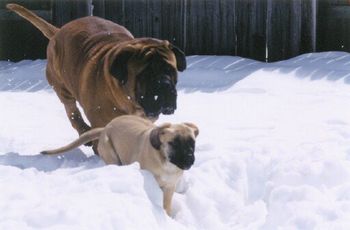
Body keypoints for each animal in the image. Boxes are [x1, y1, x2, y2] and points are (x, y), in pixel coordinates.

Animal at [6, 4, 186, 142]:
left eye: (170, 70)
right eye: (145, 73)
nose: (164, 85)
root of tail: (58, 31)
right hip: (61, 87)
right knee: (73, 113)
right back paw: (84, 131)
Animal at [41, 115, 197, 216]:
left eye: (192, 143)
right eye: (174, 143)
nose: (189, 159)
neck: (165, 163)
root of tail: (105, 127)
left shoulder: (170, 186)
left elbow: (167, 205)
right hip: (112, 156)